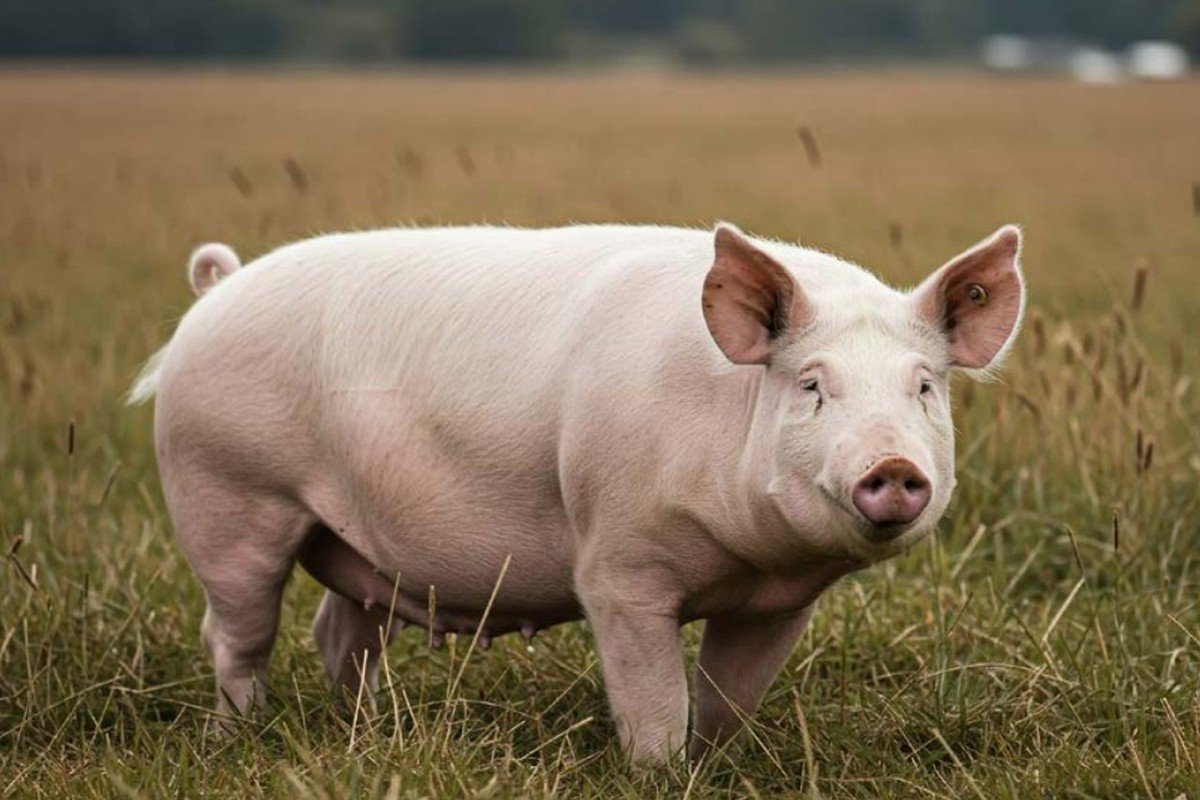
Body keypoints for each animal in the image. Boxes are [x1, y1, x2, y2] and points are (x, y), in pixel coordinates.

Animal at [129, 222, 1024, 763]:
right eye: (811, 384)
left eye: (923, 388)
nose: (893, 465)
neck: (745, 558)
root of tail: (215, 293)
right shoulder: (618, 569)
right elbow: (654, 704)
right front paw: (663, 772)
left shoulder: (780, 601)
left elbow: (728, 701)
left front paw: (718, 765)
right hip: (228, 493)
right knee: (236, 633)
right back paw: (234, 739)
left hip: (349, 537)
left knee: (340, 633)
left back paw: (369, 736)